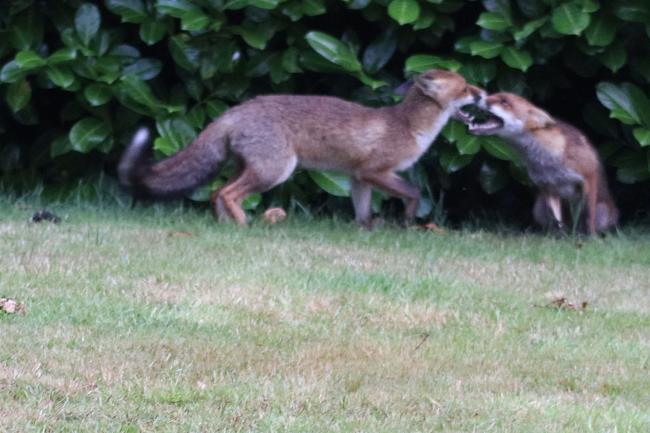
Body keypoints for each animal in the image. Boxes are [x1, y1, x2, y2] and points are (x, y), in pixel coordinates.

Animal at [119, 69, 484, 226]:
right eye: (466, 88)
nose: (484, 94)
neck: (408, 126)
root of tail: (235, 111)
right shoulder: (375, 171)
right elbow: (414, 193)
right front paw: (408, 220)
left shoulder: (357, 179)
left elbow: (363, 214)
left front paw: (364, 232)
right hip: (276, 171)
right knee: (226, 193)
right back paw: (243, 224)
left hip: (251, 168)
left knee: (214, 193)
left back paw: (225, 226)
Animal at [459, 92, 618, 234]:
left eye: (504, 101)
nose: (478, 96)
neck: (547, 161)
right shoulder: (548, 187)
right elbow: (556, 221)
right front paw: (558, 239)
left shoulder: (589, 177)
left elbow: (589, 217)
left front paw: (590, 239)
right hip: (538, 208)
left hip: (603, 211)